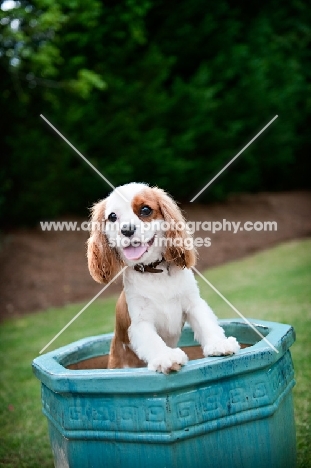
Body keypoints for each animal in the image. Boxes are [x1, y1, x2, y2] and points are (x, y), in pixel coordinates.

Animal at [88, 182, 241, 372]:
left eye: (145, 210)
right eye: (112, 217)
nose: (127, 229)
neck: (155, 271)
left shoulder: (194, 304)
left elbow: (206, 324)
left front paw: (219, 344)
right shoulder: (140, 322)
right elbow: (153, 341)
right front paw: (166, 357)